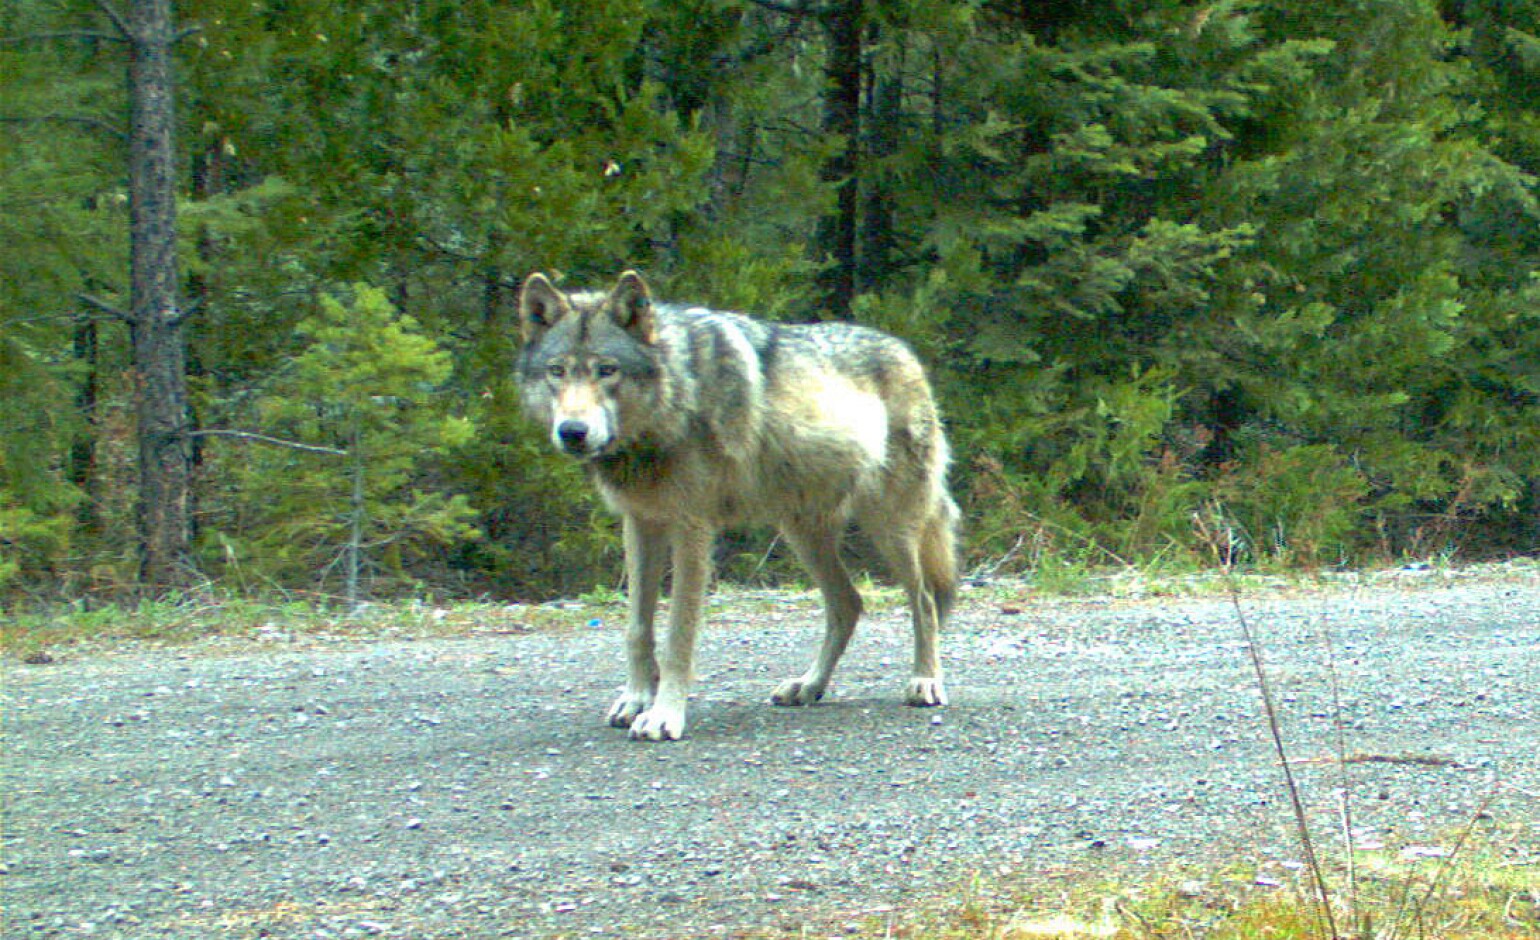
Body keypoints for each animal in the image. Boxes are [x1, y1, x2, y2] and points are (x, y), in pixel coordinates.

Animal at [516, 270, 959, 740]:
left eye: (606, 370)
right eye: (557, 371)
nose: (572, 431)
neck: (675, 396)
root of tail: (907, 352)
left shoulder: (691, 529)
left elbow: (677, 636)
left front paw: (663, 716)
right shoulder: (640, 524)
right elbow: (638, 628)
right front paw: (635, 700)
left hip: (890, 529)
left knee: (925, 600)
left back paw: (925, 680)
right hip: (802, 533)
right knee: (849, 604)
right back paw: (808, 686)